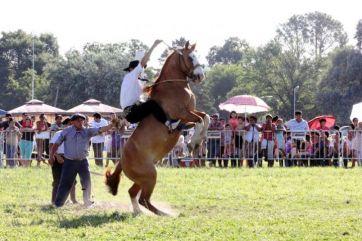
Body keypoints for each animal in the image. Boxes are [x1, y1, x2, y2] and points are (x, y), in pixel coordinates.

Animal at [105, 41, 206, 217]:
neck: (174, 85)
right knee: (144, 199)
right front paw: (193, 143)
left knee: (133, 193)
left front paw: (197, 140)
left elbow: (206, 117)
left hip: (143, 179)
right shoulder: (183, 114)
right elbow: (200, 120)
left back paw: (139, 213)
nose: (200, 76)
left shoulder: (189, 114)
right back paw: (166, 214)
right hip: (150, 175)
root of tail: (122, 160)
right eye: (190, 57)